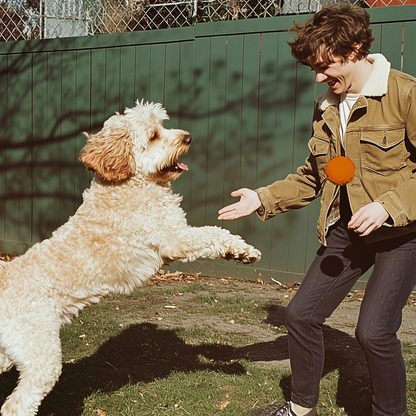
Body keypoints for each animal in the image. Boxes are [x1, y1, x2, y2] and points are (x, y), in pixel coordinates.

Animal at [0, 100, 260, 412]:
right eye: (153, 136)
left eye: (163, 125)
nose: (187, 137)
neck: (131, 183)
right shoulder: (174, 239)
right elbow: (212, 233)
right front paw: (243, 250)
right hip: (40, 352)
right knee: (15, 405)